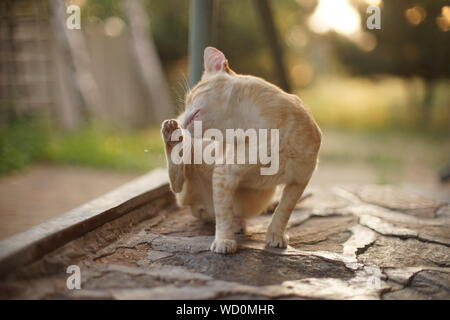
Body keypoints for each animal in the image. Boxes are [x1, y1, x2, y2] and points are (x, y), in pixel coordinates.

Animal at [161, 46, 320, 254]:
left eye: (191, 97)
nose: (183, 119)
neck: (263, 132)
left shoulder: (300, 179)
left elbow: (283, 210)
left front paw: (275, 235)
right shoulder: (224, 174)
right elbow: (223, 214)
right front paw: (224, 240)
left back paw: (238, 224)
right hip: (187, 178)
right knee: (177, 181)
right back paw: (171, 134)